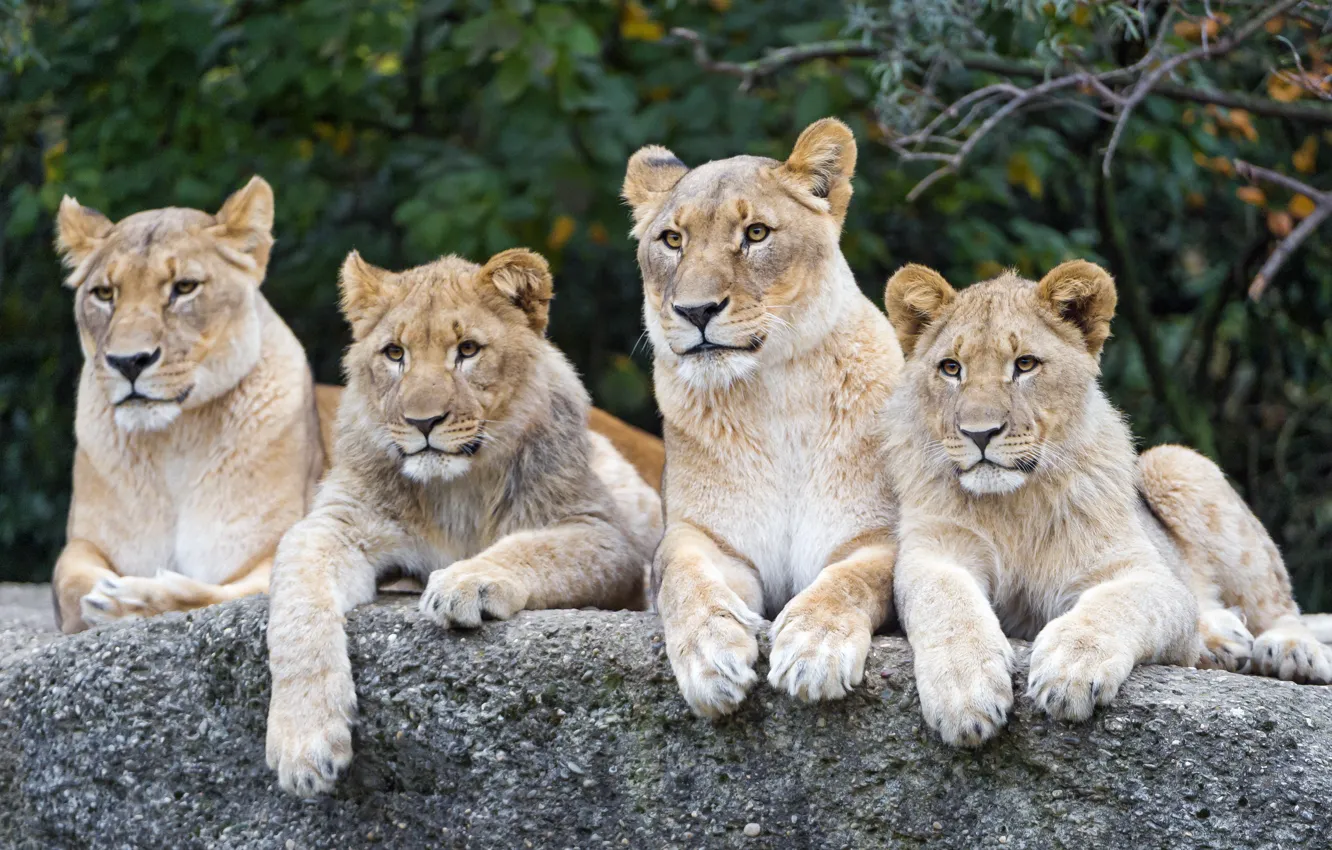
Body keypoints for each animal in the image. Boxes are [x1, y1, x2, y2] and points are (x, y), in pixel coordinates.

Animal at [50, 177, 339, 634]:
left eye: (184, 287)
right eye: (104, 294)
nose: (129, 362)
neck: (176, 440)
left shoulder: (284, 544)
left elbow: (221, 593)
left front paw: (131, 598)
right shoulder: (83, 542)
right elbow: (72, 581)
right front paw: (105, 596)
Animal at [265, 248, 662, 797]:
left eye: (468, 350)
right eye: (395, 353)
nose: (423, 423)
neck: (455, 491)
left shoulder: (603, 534)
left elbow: (532, 548)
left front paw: (464, 584)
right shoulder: (336, 523)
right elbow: (297, 610)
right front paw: (303, 742)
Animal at [622, 118, 903, 718]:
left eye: (755, 233)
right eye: (672, 240)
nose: (696, 311)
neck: (775, 392)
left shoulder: (878, 535)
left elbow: (853, 579)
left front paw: (815, 648)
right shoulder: (704, 536)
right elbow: (685, 578)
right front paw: (711, 654)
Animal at [883, 260, 1331, 748]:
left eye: (1025, 364)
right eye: (951, 368)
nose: (979, 434)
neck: (1014, 504)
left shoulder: (1146, 574)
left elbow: (1118, 603)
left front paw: (1071, 668)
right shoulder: (933, 553)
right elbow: (945, 604)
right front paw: (965, 692)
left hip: (1175, 463)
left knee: (1280, 605)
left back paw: (1289, 650)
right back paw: (1220, 641)